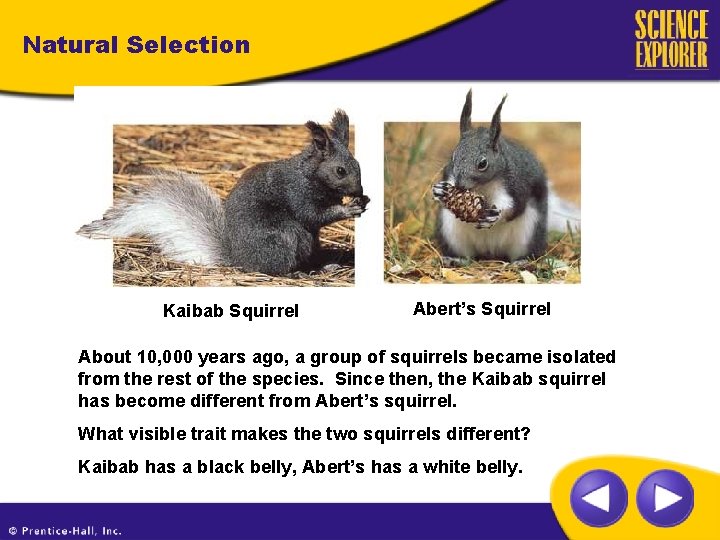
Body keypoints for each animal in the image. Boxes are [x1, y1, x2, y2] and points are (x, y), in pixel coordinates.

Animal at [78, 110, 369, 275]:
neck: (311, 174)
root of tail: (239, 259)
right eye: (340, 170)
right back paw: (300, 273)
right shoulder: (297, 191)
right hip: (284, 237)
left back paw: (324, 266)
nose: (359, 190)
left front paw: (362, 201)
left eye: (358, 165)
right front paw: (349, 208)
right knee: (279, 267)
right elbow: (312, 215)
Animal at [433, 90, 579, 262]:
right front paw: (439, 190)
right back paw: (456, 259)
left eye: (483, 163)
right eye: (453, 156)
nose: (460, 185)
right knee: (465, 253)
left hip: (529, 234)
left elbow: (514, 206)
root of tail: (490, 252)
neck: (482, 186)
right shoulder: (449, 174)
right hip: (451, 233)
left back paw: (522, 261)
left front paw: (495, 215)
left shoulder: (515, 184)